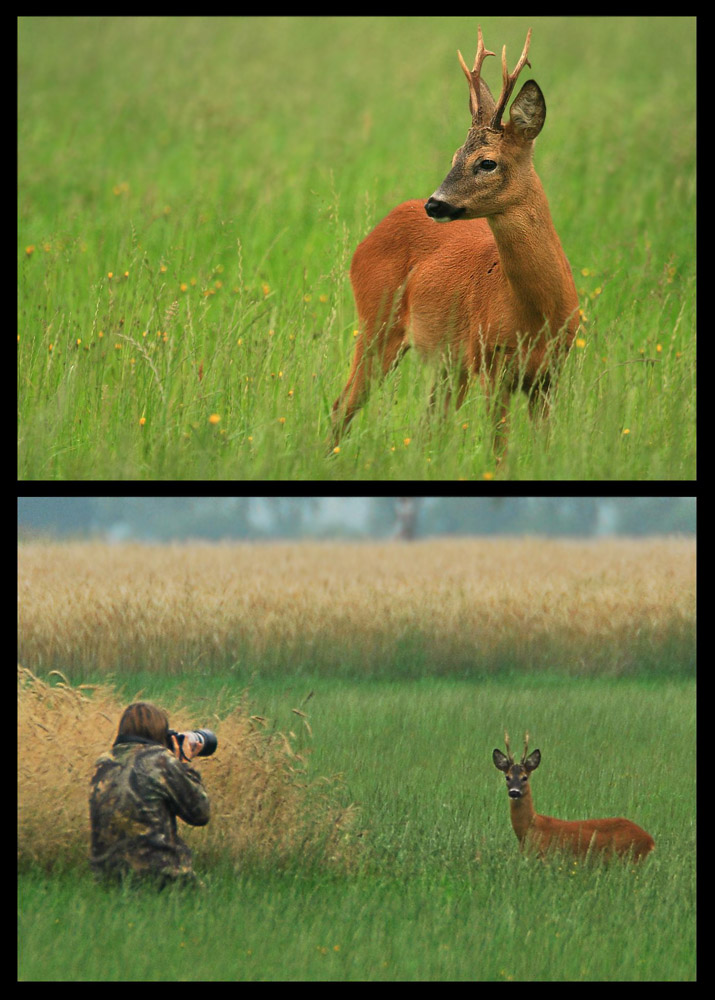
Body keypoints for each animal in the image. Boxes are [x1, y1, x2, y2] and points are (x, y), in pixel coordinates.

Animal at [332, 27, 580, 452]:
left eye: (487, 162)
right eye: (453, 156)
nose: (435, 203)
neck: (538, 313)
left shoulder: (550, 375)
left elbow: (544, 447)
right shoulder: (492, 365)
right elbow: (499, 451)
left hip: (448, 365)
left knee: (426, 424)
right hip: (378, 323)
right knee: (342, 405)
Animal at [492, 732, 656, 864]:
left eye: (524, 777)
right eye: (507, 777)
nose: (514, 792)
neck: (530, 828)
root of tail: (650, 840)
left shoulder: (545, 857)